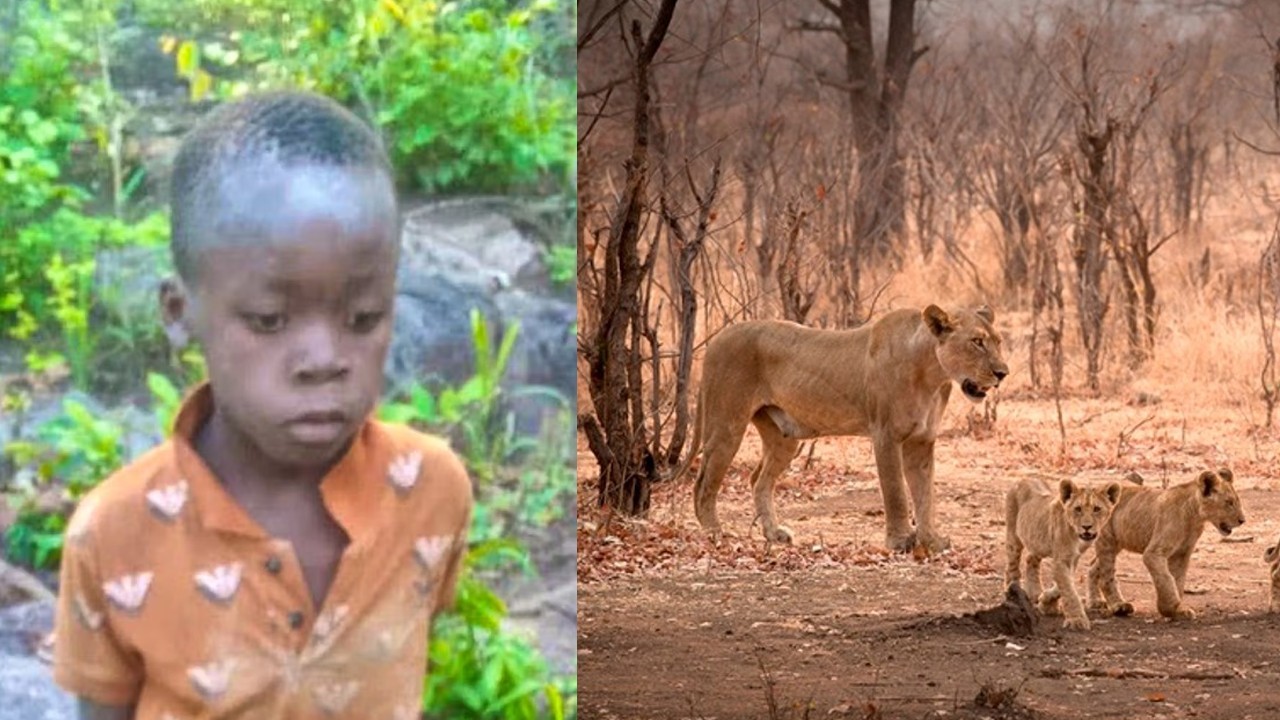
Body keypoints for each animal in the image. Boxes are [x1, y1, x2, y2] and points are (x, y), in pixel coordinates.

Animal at [676, 305, 1009, 554]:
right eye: (977, 342)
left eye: (998, 341)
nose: (1002, 373)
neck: (932, 375)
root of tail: (716, 339)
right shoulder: (886, 435)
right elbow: (897, 492)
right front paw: (901, 541)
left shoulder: (922, 442)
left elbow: (926, 496)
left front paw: (932, 541)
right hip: (726, 425)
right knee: (704, 484)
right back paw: (715, 534)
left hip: (784, 437)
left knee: (758, 479)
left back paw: (774, 533)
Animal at [1005, 477, 1121, 630]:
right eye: (1078, 509)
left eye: (1097, 509)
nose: (1087, 527)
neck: (1076, 536)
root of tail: (1023, 479)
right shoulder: (1062, 559)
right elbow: (1068, 590)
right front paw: (1077, 619)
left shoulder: (1074, 558)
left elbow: (1063, 585)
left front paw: (1046, 602)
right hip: (1014, 537)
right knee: (1012, 566)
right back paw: (1013, 594)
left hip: (1038, 541)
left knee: (1030, 558)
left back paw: (1035, 592)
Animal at [1087, 468, 1245, 619]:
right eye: (1229, 502)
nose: (1242, 520)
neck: (1194, 518)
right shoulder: (1154, 553)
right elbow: (1166, 579)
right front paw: (1169, 609)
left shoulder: (1182, 553)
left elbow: (1178, 580)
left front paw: (1177, 610)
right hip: (1107, 540)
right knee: (1106, 575)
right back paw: (1119, 606)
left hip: (1117, 542)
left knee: (1093, 566)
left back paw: (1095, 601)